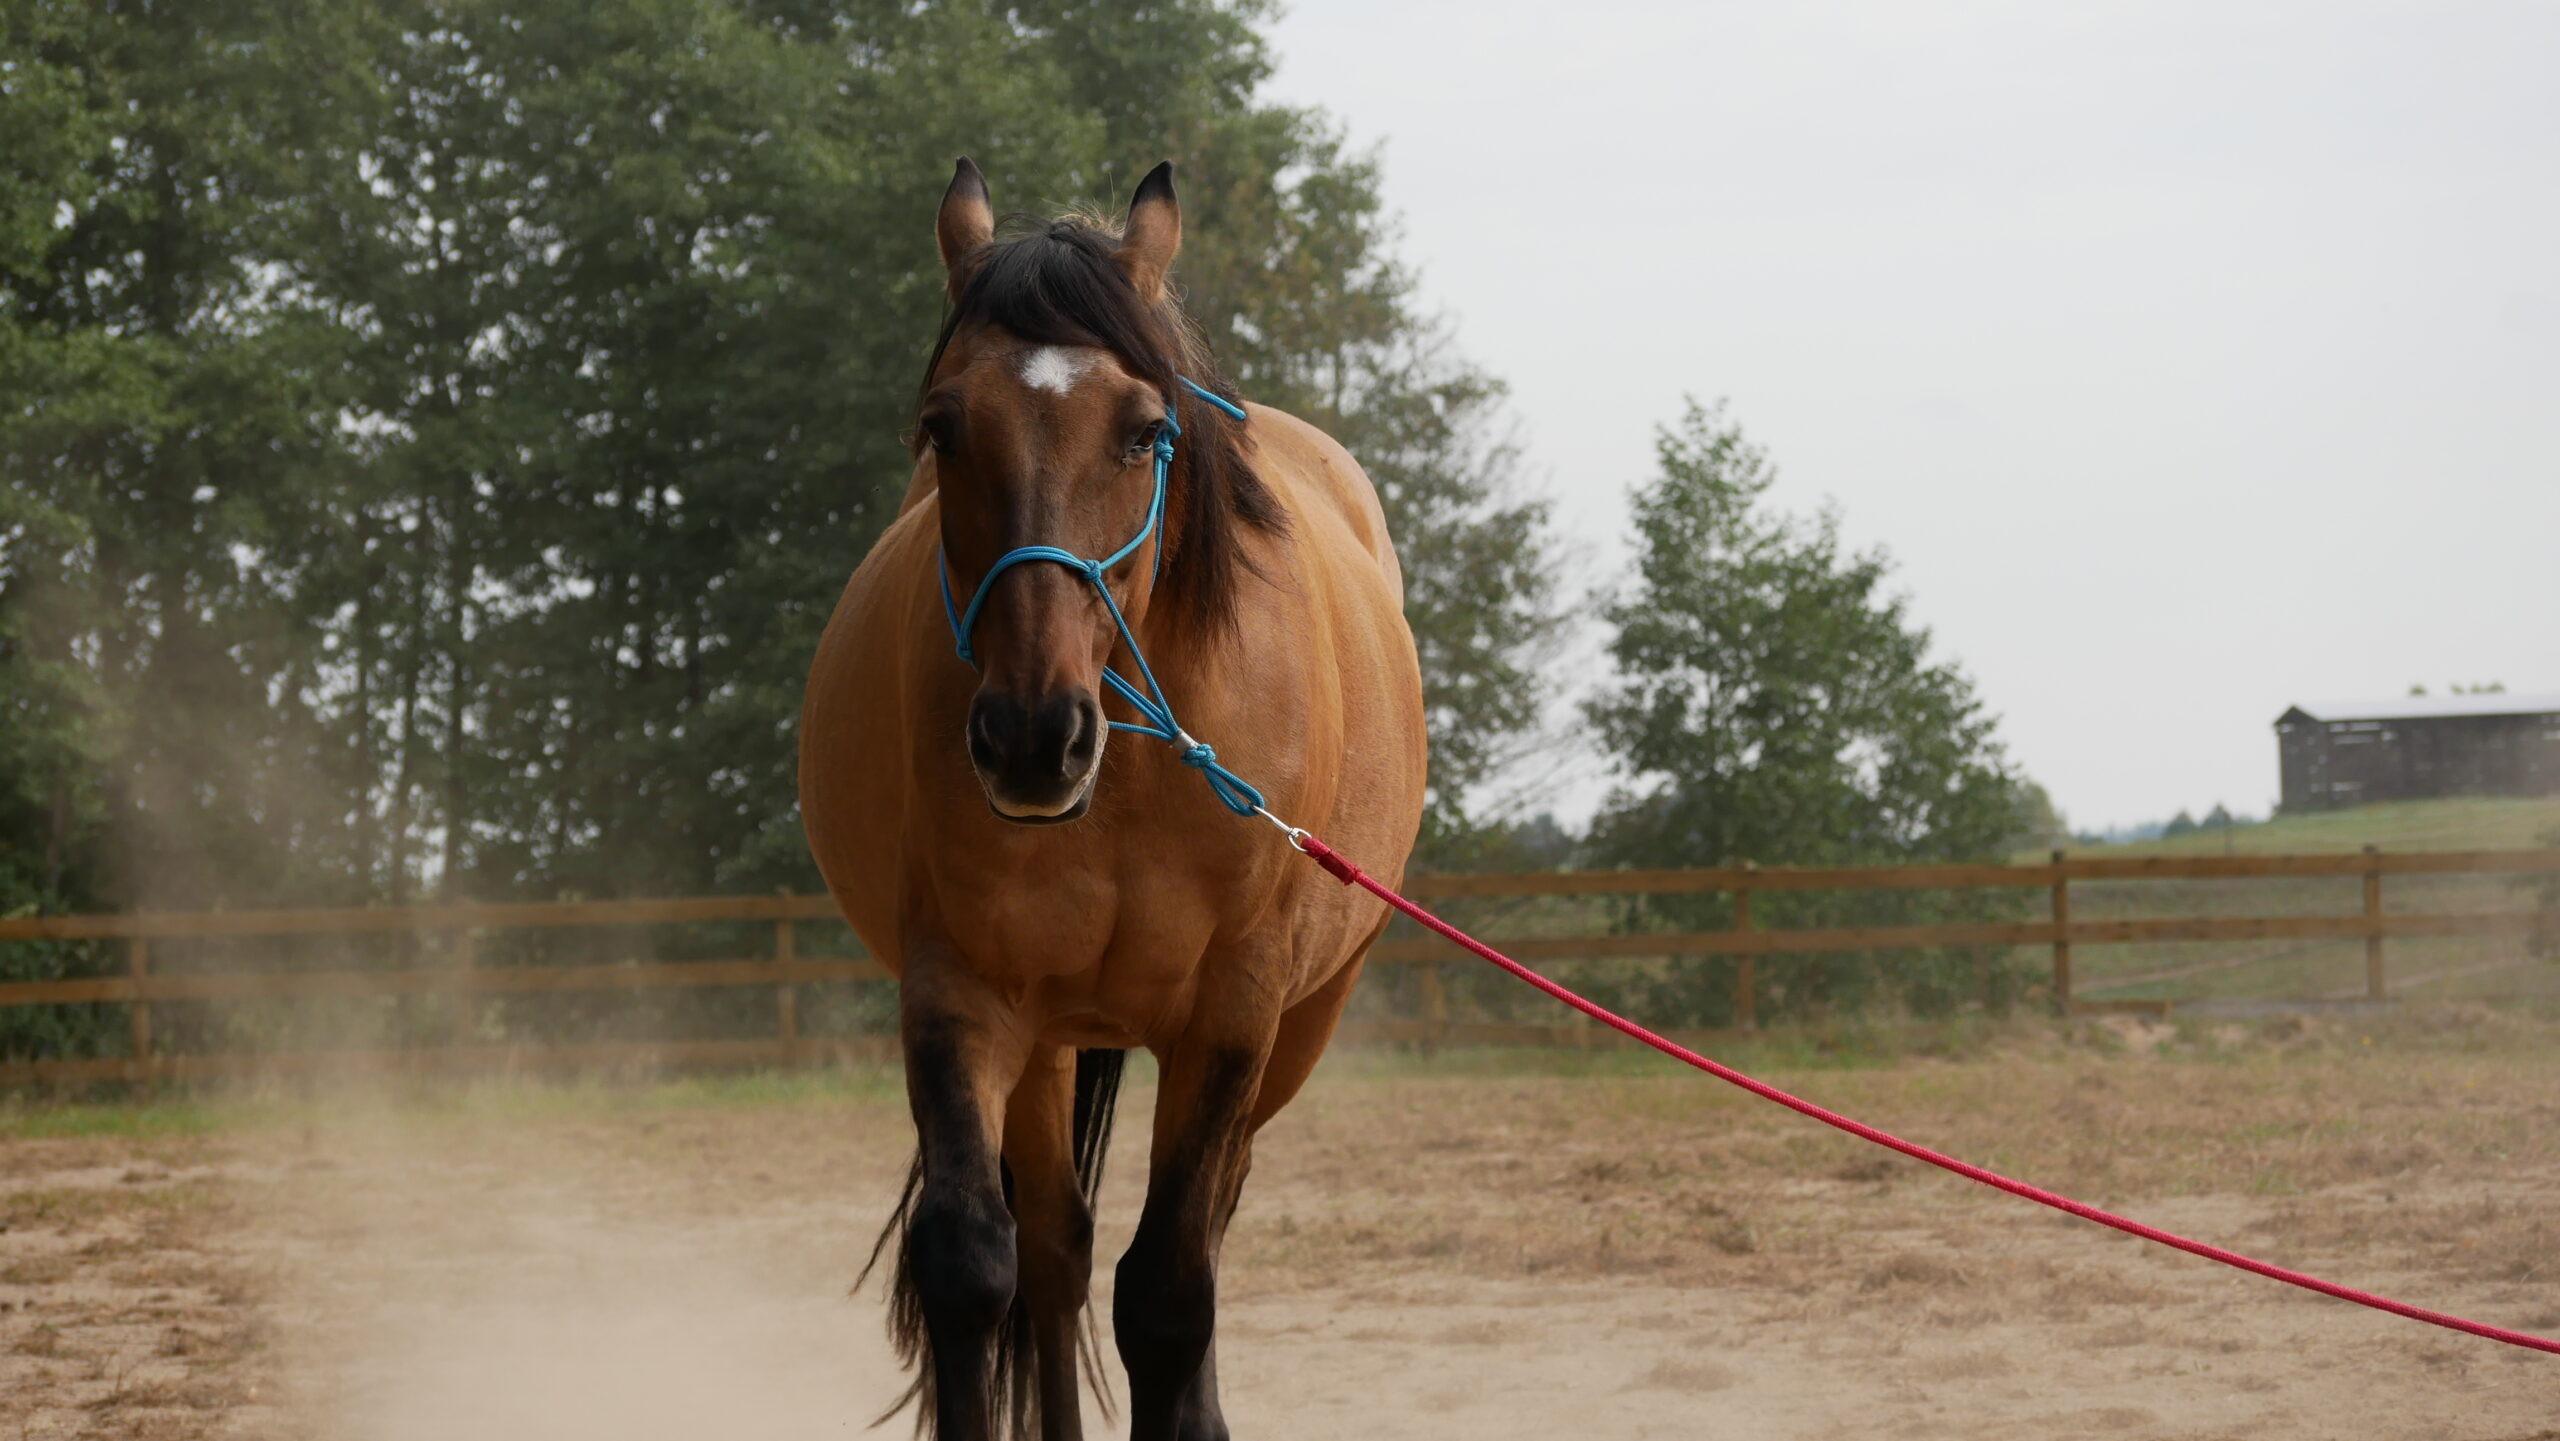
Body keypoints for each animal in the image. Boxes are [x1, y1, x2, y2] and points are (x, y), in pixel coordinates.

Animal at [799, 157, 1427, 1441]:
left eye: (1144, 432)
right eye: (943, 429)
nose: (1033, 739)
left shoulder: (1233, 1015)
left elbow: (1171, 1292)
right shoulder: (961, 994)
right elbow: (976, 1263)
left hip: (1295, 1030)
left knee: (1206, 1228)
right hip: (1046, 1040)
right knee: (1053, 1249)